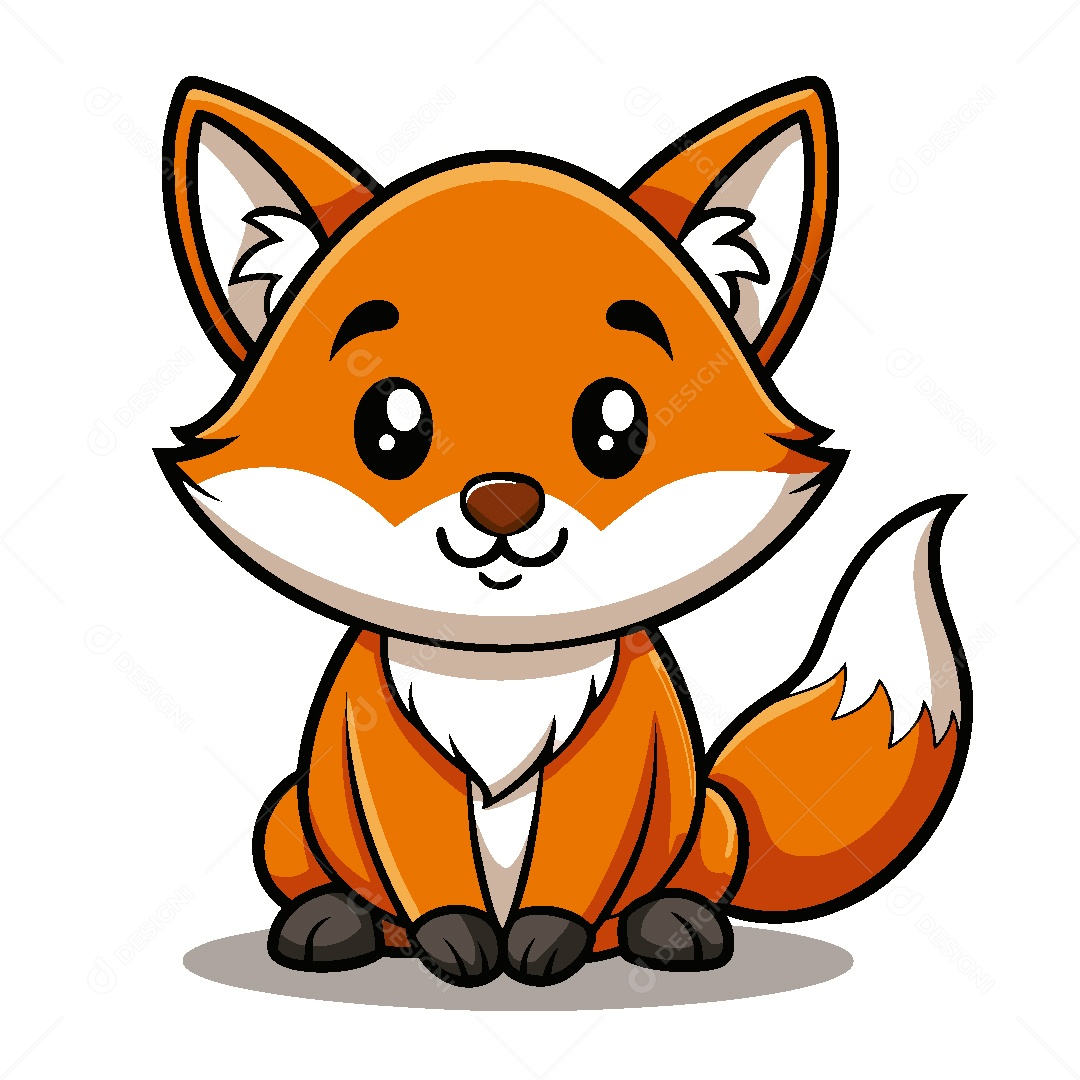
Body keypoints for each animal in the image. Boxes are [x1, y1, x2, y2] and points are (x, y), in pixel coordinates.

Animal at [159, 75, 971, 988]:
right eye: (389, 429)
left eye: (615, 428)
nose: (502, 505)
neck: (502, 670)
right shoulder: (386, 752)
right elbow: (430, 865)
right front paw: (459, 941)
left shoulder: (617, 752)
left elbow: (571, 868)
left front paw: (543, 941)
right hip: (287, 812)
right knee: (336, 884)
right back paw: (335, 920)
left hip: (707, 822)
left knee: (674, 887)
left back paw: (671, 923)